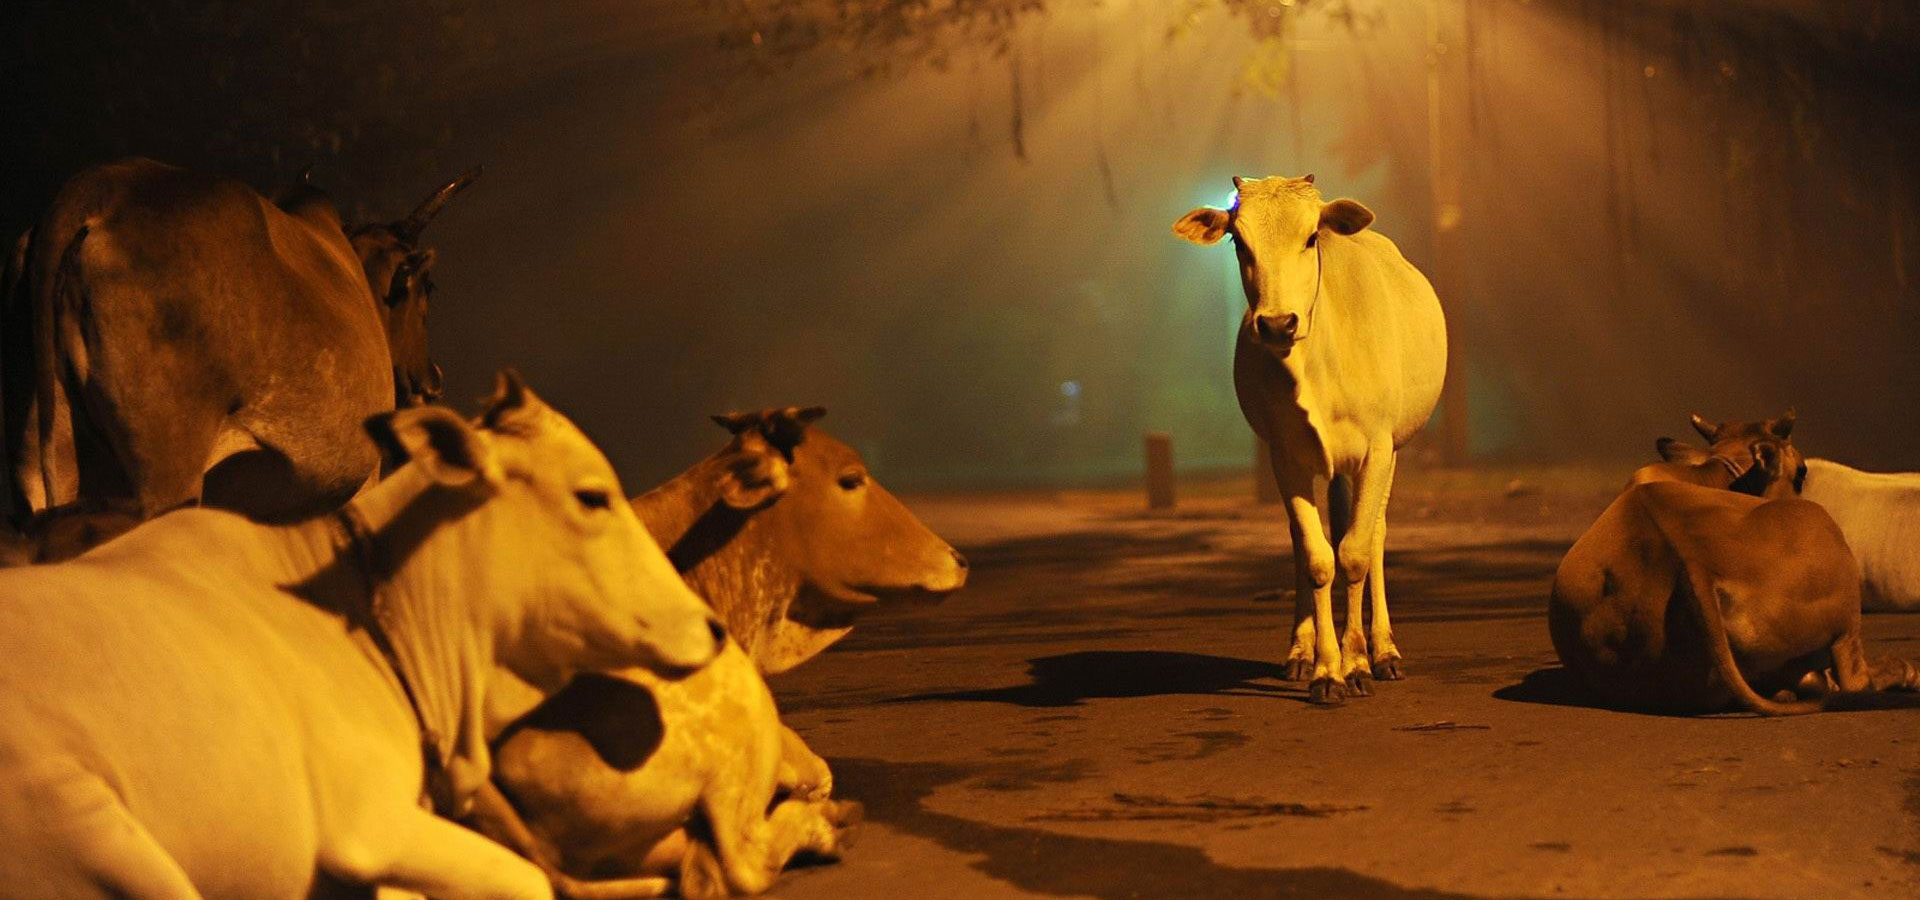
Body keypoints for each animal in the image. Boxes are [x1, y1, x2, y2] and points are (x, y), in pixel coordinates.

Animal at [1, 156, 479, 543]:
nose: (432, 381)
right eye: (427, 288)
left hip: (41, 476)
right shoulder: (363, 481)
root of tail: (97, 188)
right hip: (166, 484)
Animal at [1173, 174, 1447, 704]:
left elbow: (1356, 553)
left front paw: (1358, 662)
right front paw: (1325, 669)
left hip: (1389, 454)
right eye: (1239, 242)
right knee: (1311, 542)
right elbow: (1318, 556)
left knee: (1374, 534)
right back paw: (1301, 652)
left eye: (1311, 237)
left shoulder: (1378, 450)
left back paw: (1385, 651)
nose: (1278, 323)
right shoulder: (1286, 457)